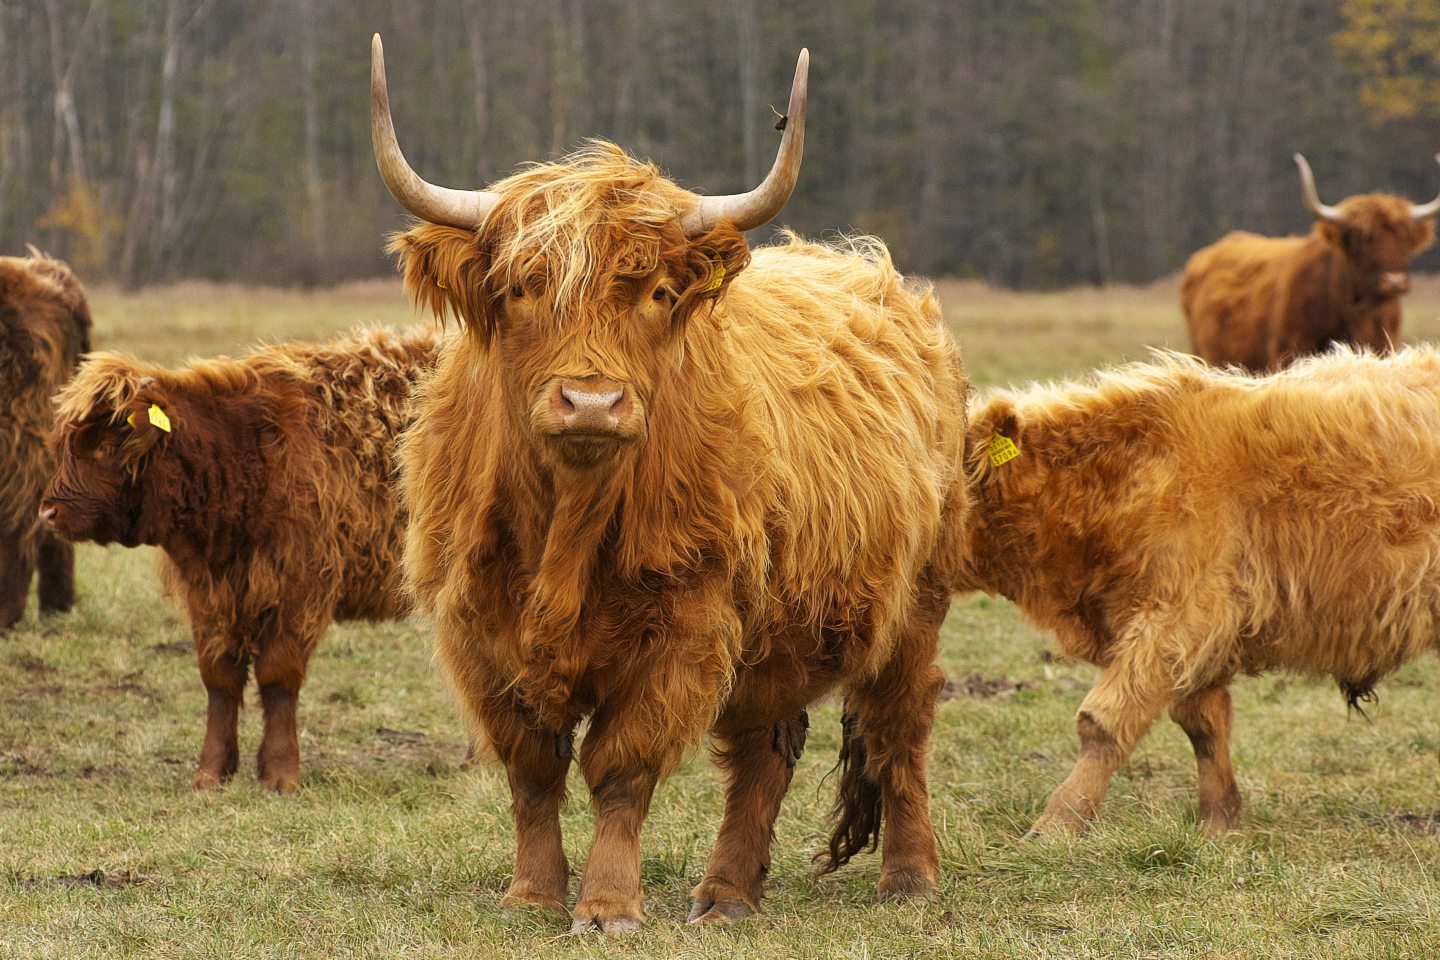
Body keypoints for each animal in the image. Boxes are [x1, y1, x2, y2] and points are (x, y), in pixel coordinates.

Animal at [43, 326, 437, 794]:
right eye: (64, 443)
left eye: (104, 444)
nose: (49, 511)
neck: (241, 456)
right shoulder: (210, 594)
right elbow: (219, 678)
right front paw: (212, 771)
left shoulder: (299, 587)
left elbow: (277, 675)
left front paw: (281, 772)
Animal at [377, 35, 973, 932]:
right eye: (520, 290)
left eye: (657, 293)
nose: (591, 400)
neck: (568, 524)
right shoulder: (478, 630)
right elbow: (531, 769)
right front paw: (530, 893)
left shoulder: (685, 626)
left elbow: (620, 767)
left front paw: (607, 906)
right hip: (780, 627)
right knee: (766, 750)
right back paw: (727, 895)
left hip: (916, 605)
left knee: (899, 728)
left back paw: (908, 878)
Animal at [956, 349, 1440, 834]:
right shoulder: (1195, 632)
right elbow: (1204, 722)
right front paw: (1217, 819)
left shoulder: (1178, 616)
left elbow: (1103, 721)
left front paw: (1057, 822)